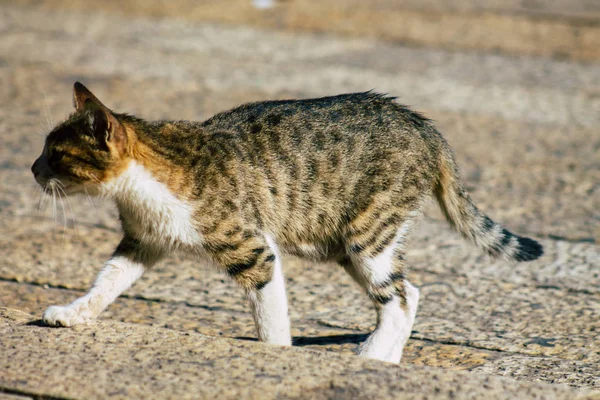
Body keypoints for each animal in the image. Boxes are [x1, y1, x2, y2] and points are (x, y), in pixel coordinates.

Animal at [29, 82, 544, 362]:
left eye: (56, 154)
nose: (32, 169)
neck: (145, 183)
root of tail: (427, 128)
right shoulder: (143, 241)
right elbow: (108, 280)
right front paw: (76, 312)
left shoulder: (254, 250)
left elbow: (270, 318)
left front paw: (275, 358)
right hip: (345, 241)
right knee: (409, 293)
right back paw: (384, 362)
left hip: (367, 232)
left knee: (398, 298)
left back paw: (373, 354)